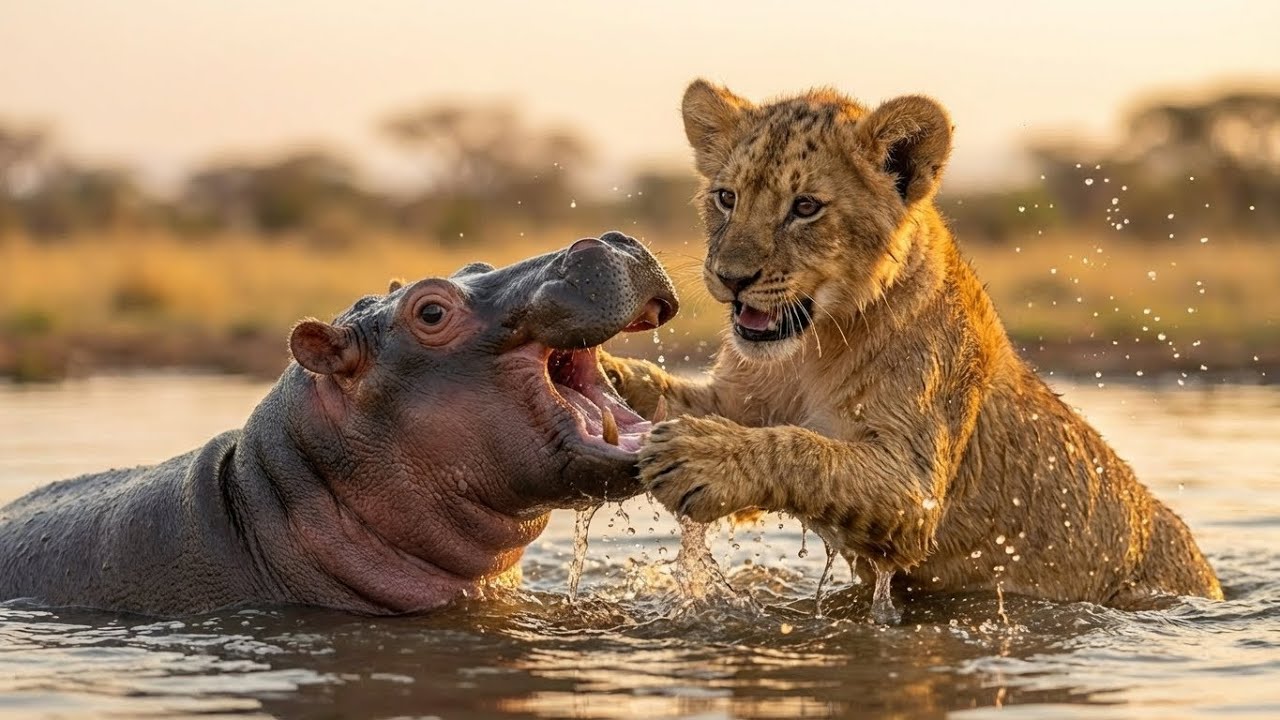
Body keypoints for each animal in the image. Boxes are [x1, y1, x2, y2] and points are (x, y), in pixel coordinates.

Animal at [601, 80, 1222, 609]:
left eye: (805, 207)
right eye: (726, 198)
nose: (730, 278)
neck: (810, 350)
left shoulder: (914, 486)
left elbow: (806, 450)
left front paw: (698, 455)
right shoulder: (740, 398)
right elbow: (667, 395)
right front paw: (605, 376)